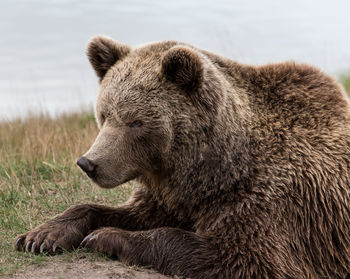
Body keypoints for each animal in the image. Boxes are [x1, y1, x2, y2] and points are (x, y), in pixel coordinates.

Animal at [15, 36, 350, 278]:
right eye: (105, 114)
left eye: (135, 121)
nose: (89, 163)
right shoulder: (172, 196)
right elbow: (125, 211)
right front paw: (42, 236)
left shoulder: (268, 201)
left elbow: (240, 256)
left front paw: (104, 237)